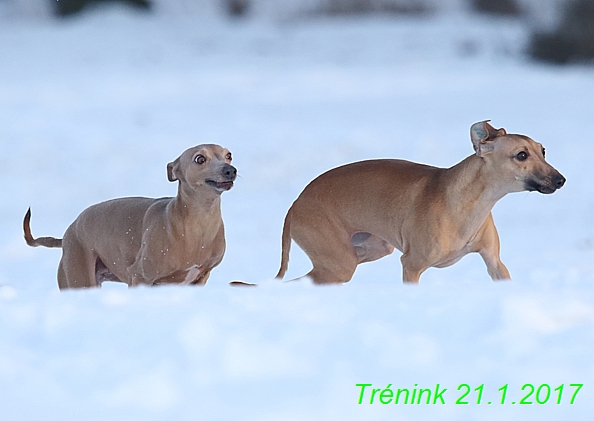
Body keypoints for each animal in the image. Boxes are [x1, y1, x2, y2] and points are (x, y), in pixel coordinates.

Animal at [23, 144, 236, 288]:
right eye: (200, 159)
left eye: (229, 155)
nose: (230, 170)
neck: (198, 224)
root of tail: (67, 233)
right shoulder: (139, 276)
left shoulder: (200, 277)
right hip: (79, 277)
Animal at [276, 120, 564, 282]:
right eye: (521, 155)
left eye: (543, 150)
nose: (561, 180)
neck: (465, 202)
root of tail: (295, 204)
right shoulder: (411, 266)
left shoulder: (494, 262)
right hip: (338, 263)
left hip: (367, 250)